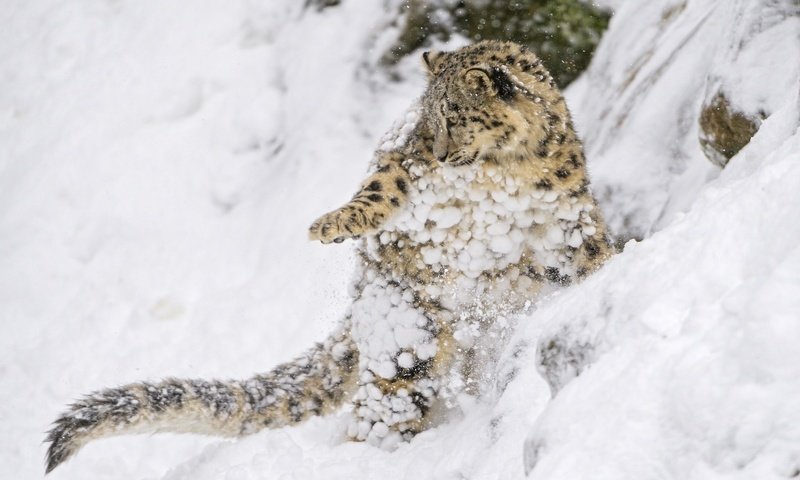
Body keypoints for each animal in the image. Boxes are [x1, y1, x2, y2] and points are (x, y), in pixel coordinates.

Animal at [45, 40, 612, 472]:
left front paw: (612, 271)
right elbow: (381, 186)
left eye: (455, 116)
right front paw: (332, 225)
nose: (440, 152)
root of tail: (360, 304)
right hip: (405, 339)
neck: (503, 174)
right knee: (383, 409)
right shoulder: (404, 163)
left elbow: (591, 254)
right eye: (427, 120)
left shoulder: (567, 220)